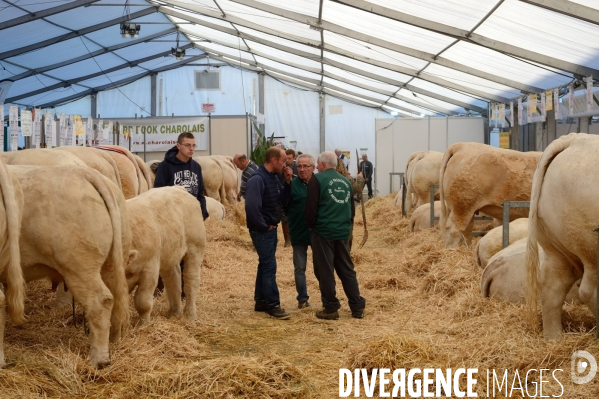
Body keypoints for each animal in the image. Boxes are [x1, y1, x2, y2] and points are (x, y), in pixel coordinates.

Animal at [126, 188, 206, 324]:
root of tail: (179, 188)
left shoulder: (150, 268)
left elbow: (143, 301)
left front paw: (143, 325)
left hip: (195, 248)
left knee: (191, 280)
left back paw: (190, 316)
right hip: (170, 253)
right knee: (173, 279)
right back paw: (175, 313)